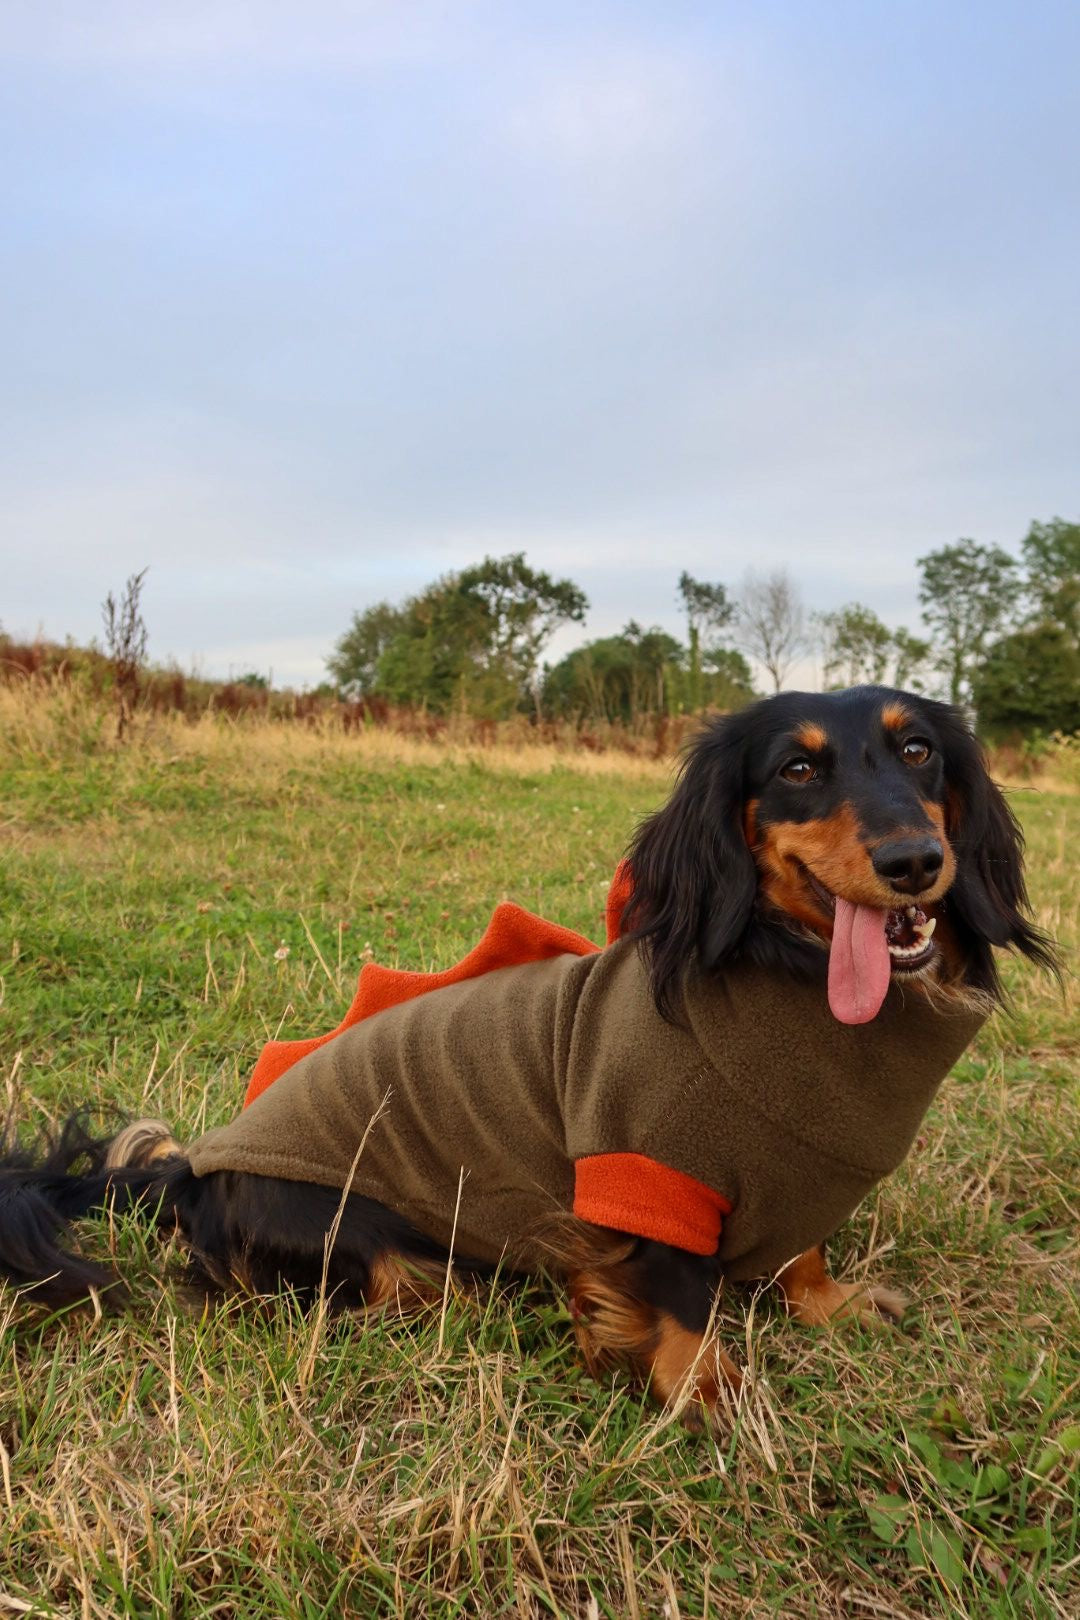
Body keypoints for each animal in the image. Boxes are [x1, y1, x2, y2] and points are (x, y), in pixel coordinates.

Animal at [0, 683, 1055, 1419]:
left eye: (918, 751)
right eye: (796, 771)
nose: (915, 862)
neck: (783, 970)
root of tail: (191, 1173)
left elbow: (804, 1247)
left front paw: (827, 1303)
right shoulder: (645, 1170)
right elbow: (683, 1302)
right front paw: (706, 1394)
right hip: (351, 1231)